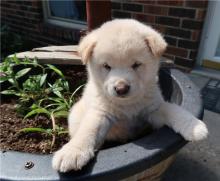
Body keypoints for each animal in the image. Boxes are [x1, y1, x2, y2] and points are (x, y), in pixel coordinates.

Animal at [52, 19, 208, 172]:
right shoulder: (101, 112)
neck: (127, 104)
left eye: (136, 64)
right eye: (107, 66)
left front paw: (193, 126)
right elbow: (88, 130)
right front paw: (73, 152)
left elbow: (173, 110)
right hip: (76, 116)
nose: (121, 88)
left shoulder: (154, 109)